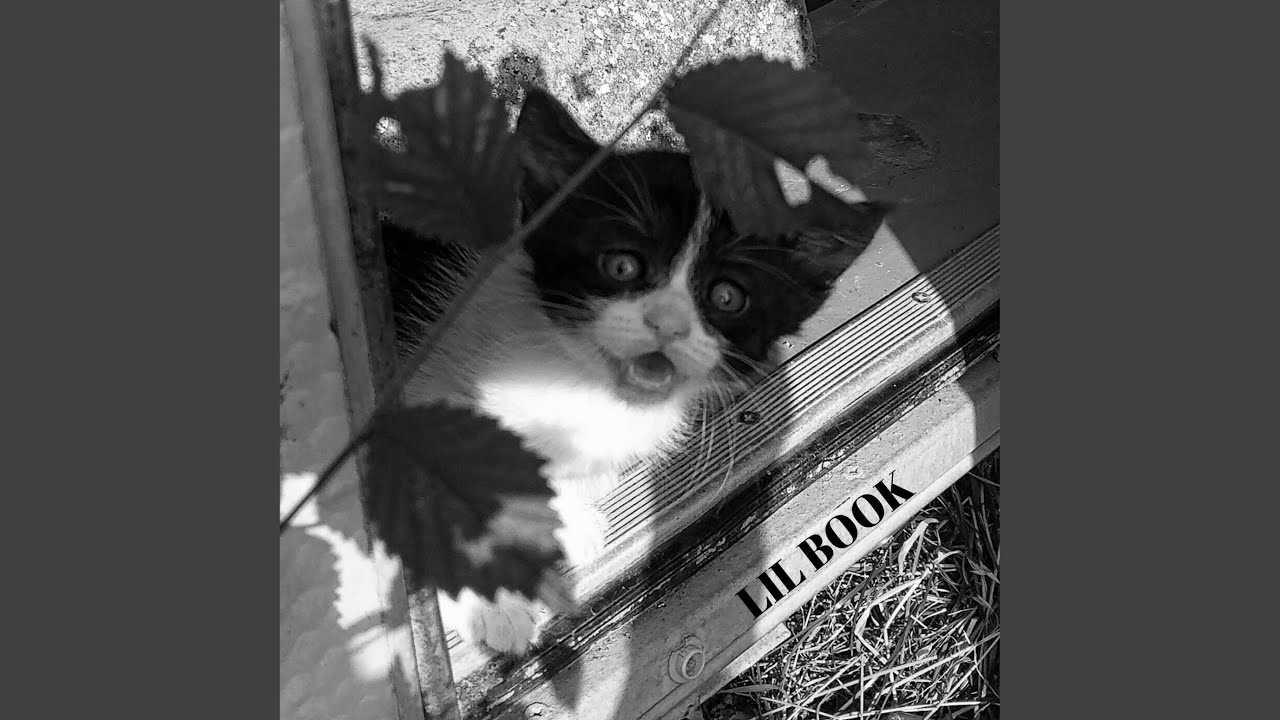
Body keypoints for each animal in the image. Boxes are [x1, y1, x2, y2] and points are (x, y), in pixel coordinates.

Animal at [381, 87, 892, 656]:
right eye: (622, 266)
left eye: (727, 297)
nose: (666, 323)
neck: (582, 385)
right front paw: (493, 608)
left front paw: (565, 522)